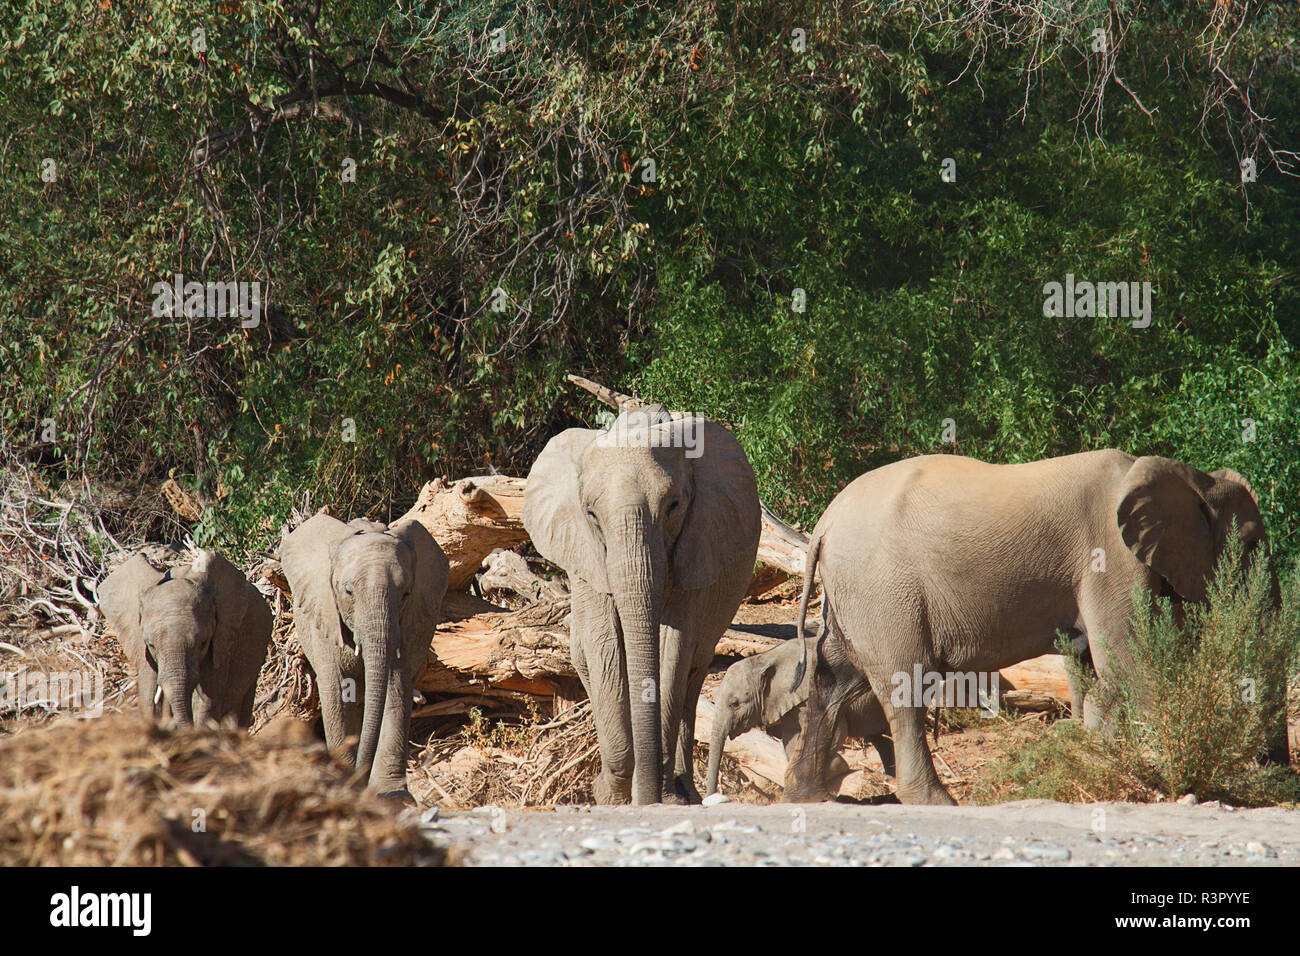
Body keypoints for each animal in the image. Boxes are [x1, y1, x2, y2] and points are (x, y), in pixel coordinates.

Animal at [279, 512, 452, 796]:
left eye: (406, 593)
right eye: (348, 590)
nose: (360, 777)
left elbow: (396, 687)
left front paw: (393, 796)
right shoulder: (325, 620)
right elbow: (337, 691)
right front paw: (345, 786)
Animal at [520, 405, 759, 806]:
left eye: (674, 506)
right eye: (591, 514)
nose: (646, 798)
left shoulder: (695, 546)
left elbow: (672, 646)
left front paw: (662, 796)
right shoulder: (589, 562)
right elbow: (604, 645)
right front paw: (609, 796)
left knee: (693, 672)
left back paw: (683, 790)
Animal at [702, 642, 894, 801]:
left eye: (734, 704)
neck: (765, 659)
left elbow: (836, 730)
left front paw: (836, 767)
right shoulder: (787, 702)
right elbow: (791, 739)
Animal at [780, 452, 1279, 806]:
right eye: (1253, 544)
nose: (1273, 772)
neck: (1188, 476)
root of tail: (824, 524)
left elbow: (1088, 665)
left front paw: (1089, 753)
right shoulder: (1109, 555)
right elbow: (1130, 659)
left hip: (856, 595)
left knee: (834, 677)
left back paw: (808, 796)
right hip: (884, 590)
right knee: (905, 686)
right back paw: (936, 802)